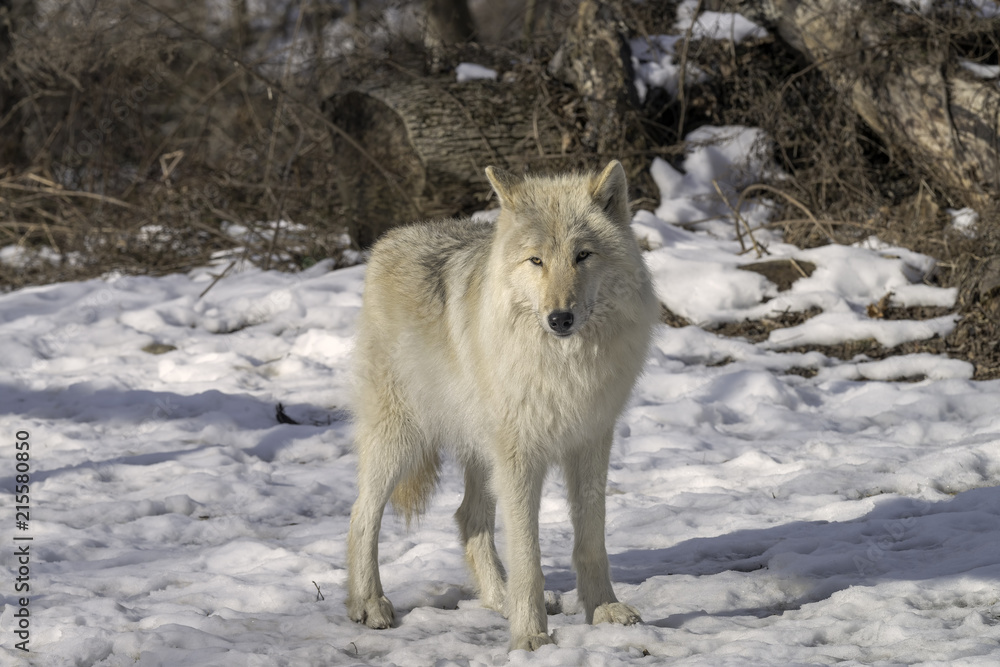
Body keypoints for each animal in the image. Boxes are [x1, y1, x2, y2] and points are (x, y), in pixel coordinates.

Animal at [346, 160, 659, 651]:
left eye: (583, 255)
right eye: (536, 260)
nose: (560, 318)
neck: (565, 366)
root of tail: (389, 240)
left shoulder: (591, 442)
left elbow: (591, 540)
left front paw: (604, 609)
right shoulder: (519, 456)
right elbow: (528, 556)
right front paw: (530, 636)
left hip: (480, 450)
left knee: (468, 517)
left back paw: (499, 599)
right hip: (402, 440)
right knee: (362, 515)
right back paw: (370, 604)